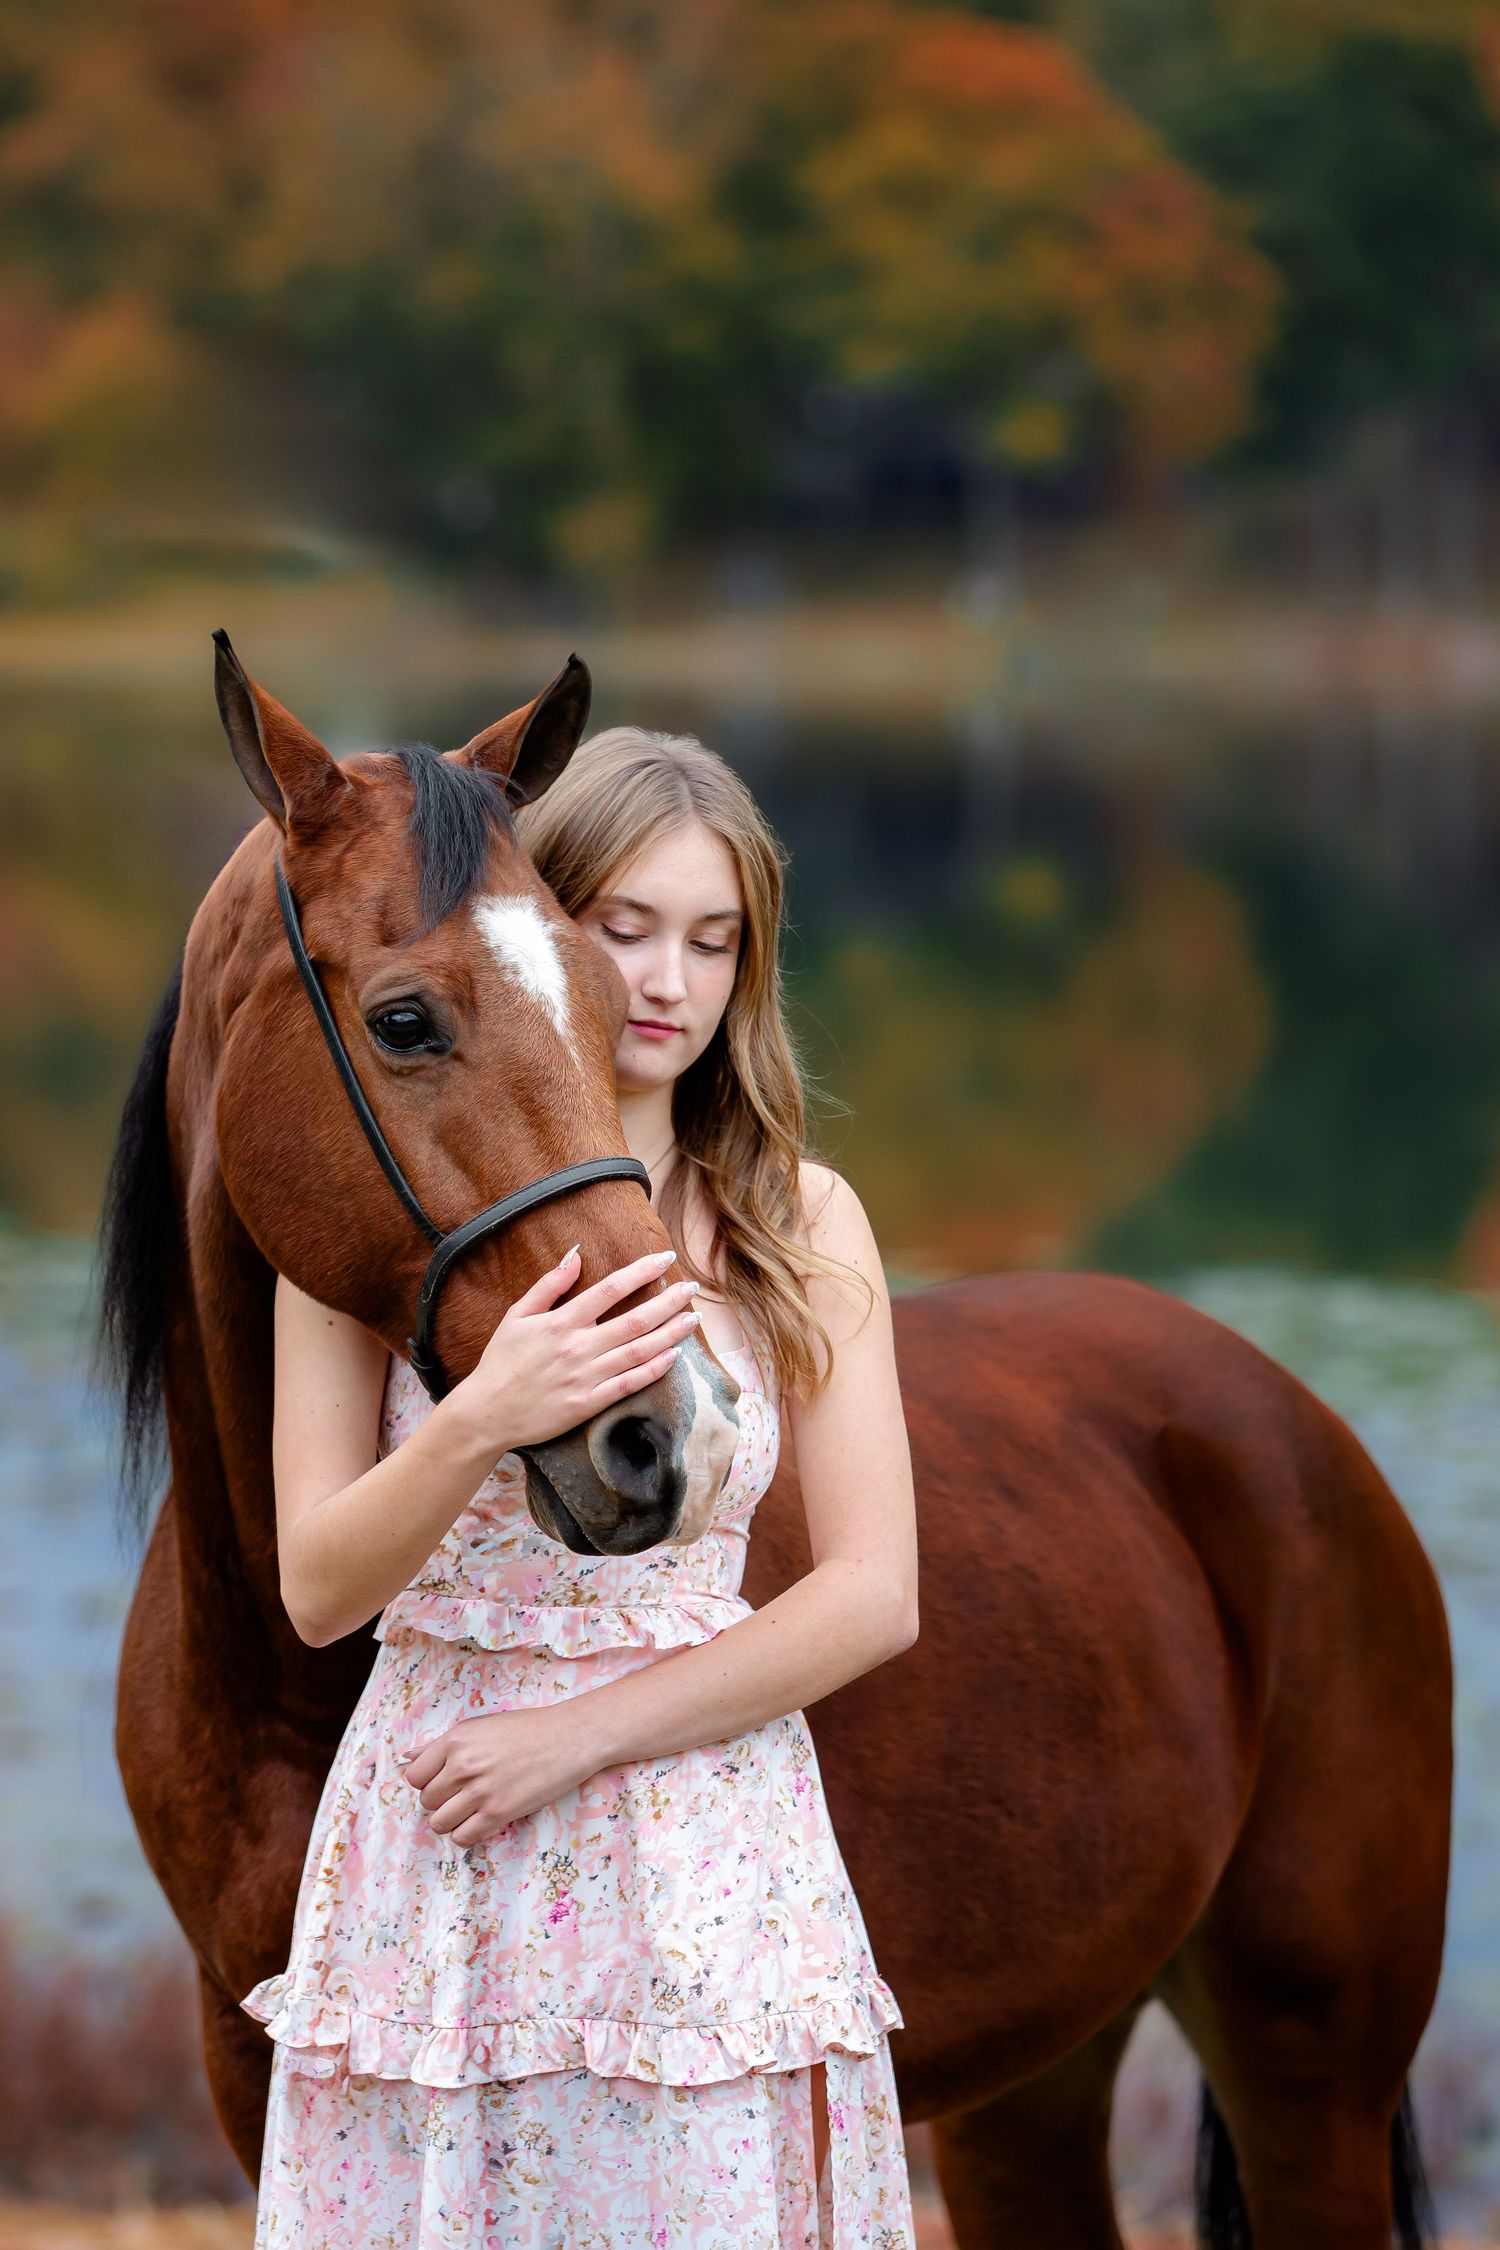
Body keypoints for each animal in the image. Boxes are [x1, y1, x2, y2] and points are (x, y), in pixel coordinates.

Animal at [96, 640, 1452, 2249]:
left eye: (607, 983)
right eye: (405, 1020)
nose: (666, 1432)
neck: (283, 1684)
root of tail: (1291, 1416)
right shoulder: (252, 2073)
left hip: (1310, 2072)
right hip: (1035, 2085)